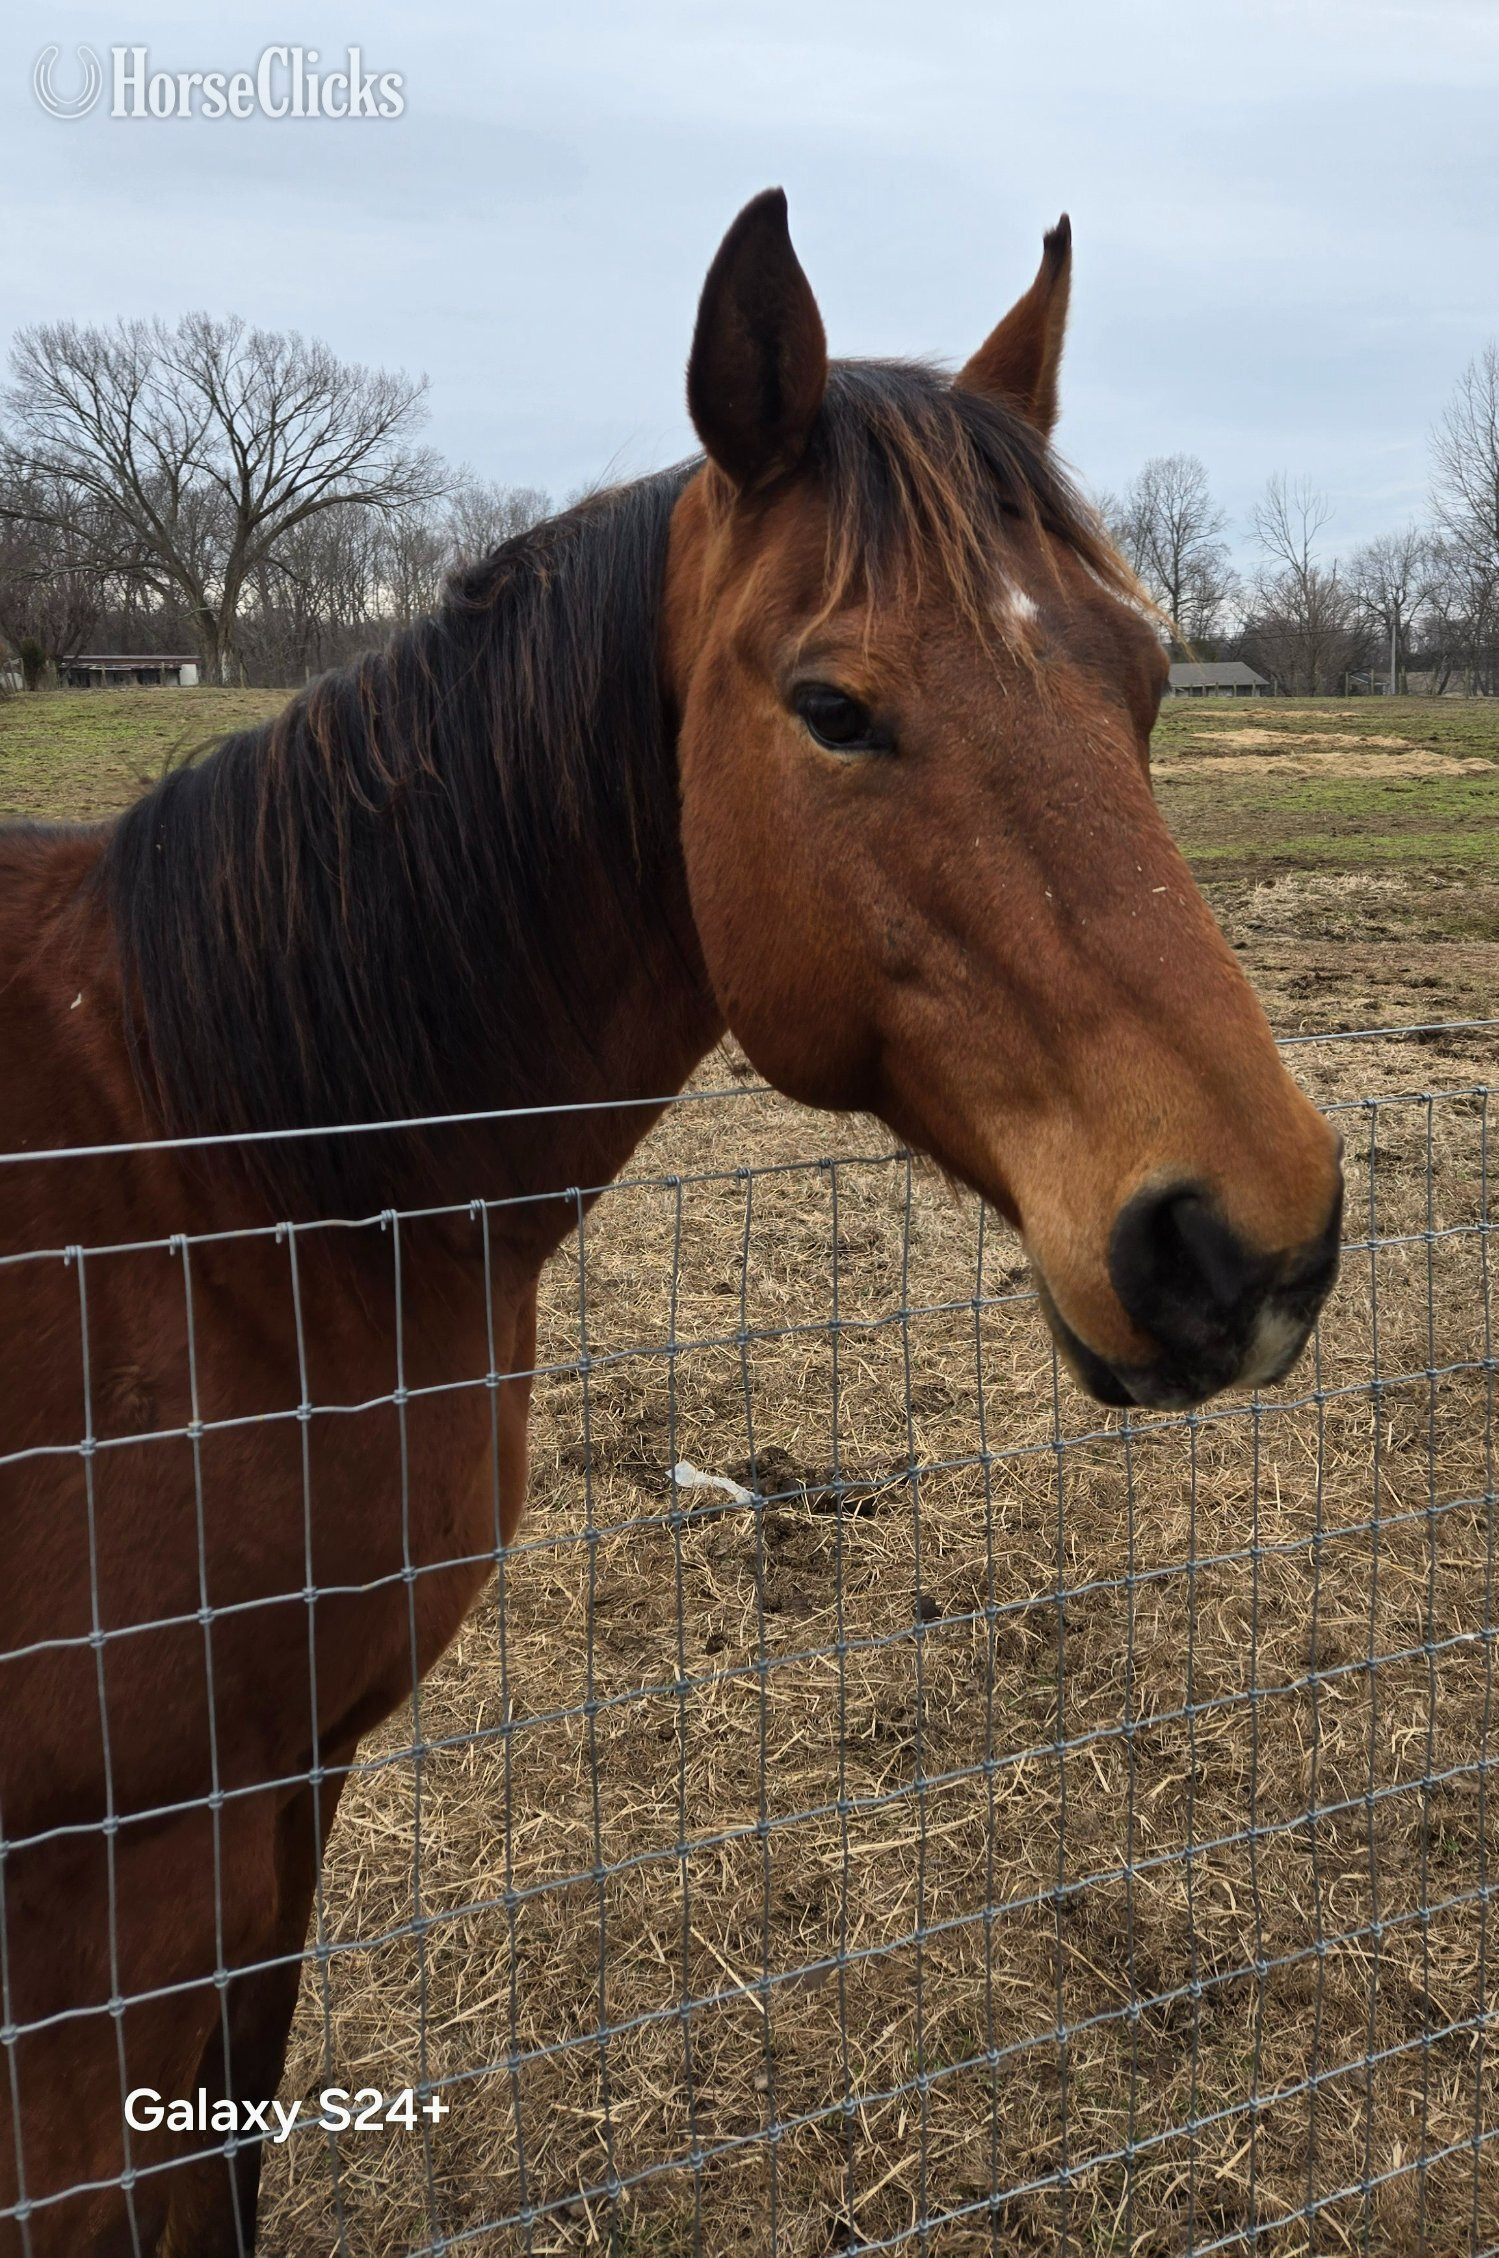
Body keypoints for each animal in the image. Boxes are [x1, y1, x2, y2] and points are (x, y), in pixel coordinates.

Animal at [0, 190, 1343, 2254]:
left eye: (1135, 677)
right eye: (831, 708)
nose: (1245, 1243)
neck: (222, 1177)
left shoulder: (279, 1798)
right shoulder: (98, 1891)